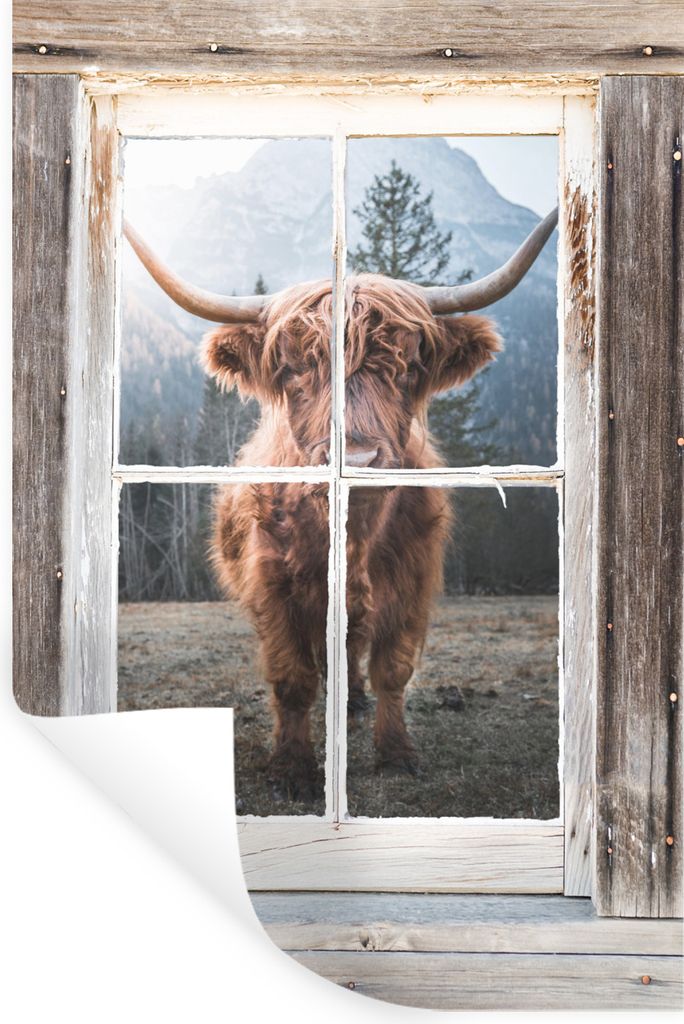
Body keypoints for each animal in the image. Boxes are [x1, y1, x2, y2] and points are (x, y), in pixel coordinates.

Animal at [124, 209, 557, 801]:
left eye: (408, 367)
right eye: (291, 369)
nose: (356, 457)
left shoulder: (412, 581)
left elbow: (393, 669)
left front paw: (396, 753)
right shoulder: (272, 586)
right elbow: (292, 678)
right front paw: (290, 768)